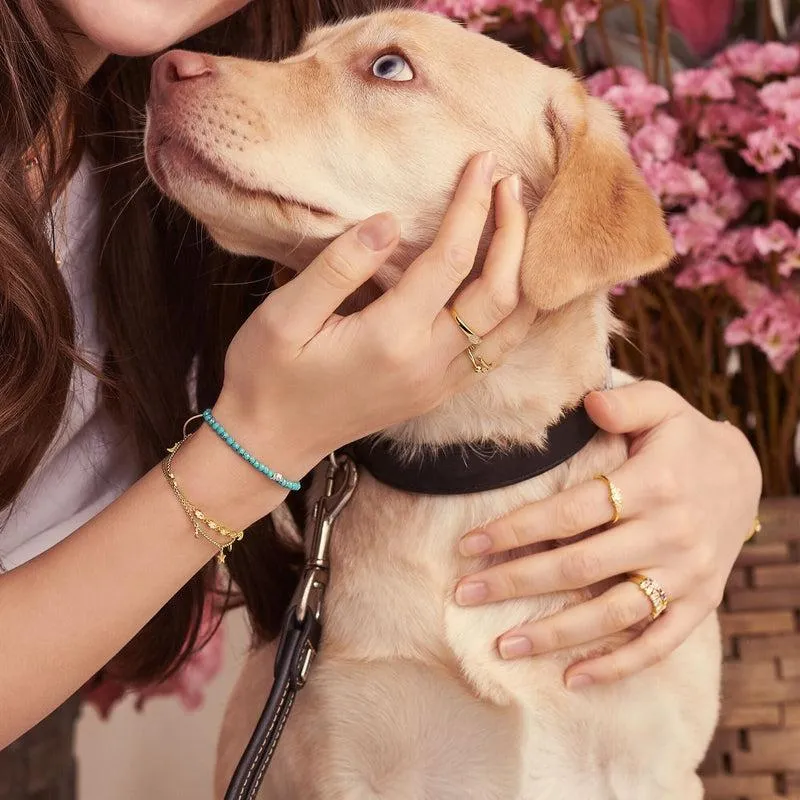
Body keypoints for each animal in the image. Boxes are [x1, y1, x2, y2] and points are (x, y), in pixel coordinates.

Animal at [147, 7, 720, 800]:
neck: (469, 467)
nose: (163, 69)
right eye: (298, 51)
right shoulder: (343, 762)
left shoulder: (655, 767)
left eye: (389, 66)